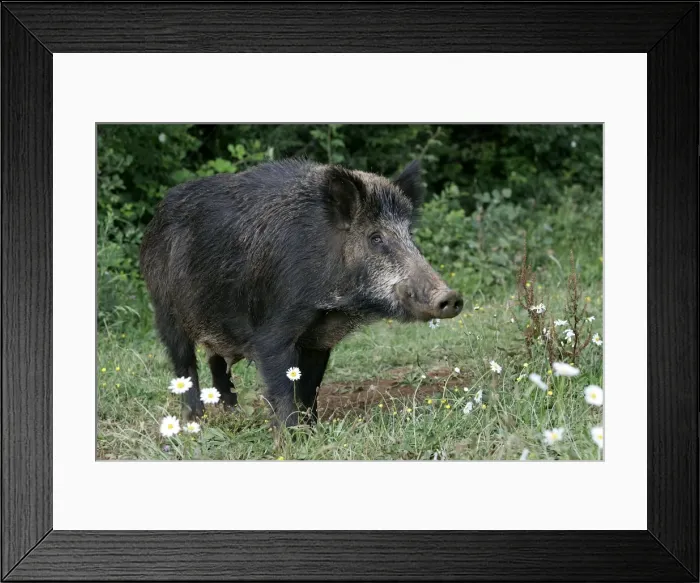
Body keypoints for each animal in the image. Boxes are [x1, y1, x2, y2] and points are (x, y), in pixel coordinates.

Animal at [140, 158, 463, 428]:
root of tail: (154, 222)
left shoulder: (320, 339)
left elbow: (310, 387)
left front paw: (313, 429)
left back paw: (234, 415)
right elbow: (282, 388)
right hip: (164, 310)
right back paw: (193, 423)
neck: (332, 304)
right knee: (184, 364)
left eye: (410, 235)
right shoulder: (272, 331)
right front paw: (291, 436)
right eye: (375, 238)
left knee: (216, 361)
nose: (451, 297)